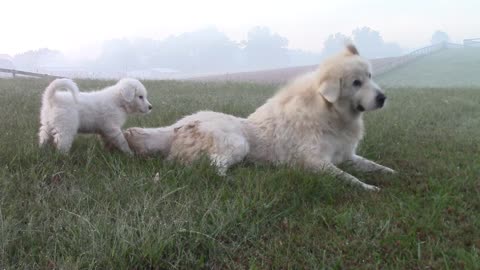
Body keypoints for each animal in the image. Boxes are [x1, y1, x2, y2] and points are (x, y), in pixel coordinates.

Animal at [123, 44, 394, 190]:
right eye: (356, 82)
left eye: (370, 76)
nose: (383, 98)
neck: (329, 113)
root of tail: (179, 125)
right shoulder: (314, 163)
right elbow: (348, 177)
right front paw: (369, 187)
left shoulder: (347, 156)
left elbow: (373, 165)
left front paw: (391, 173)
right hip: (238, 143)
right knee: (214, 167)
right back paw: (238, 179)